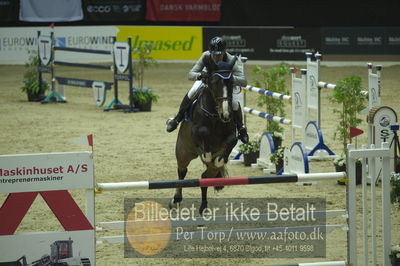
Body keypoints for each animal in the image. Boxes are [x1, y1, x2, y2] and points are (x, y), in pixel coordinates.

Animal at [168, 55, 238, 214]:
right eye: (214, 82)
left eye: (231, 82)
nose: (226, 114)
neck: (215, 116)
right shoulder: (195, 132)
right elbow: (203, 131)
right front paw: (207, 153)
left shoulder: (231, 133)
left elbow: (232, 140)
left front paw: (220, 158)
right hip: (183, 152)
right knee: (182, 171)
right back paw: (175, 200)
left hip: (208, 167)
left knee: (205, 177)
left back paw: (204, 207)